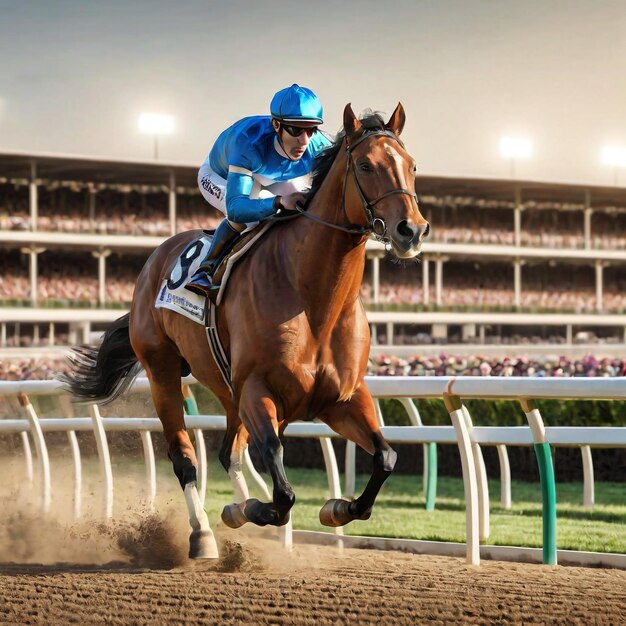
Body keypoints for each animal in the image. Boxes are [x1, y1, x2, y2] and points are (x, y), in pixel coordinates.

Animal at [59, 102, 428, 556]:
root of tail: (153, 263)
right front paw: (249, 509)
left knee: (229, 453)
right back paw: (202, 534)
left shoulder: (341, 398)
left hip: (226, 386)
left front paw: (335, 508)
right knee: (185, 457)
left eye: (412, 166)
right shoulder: (257, 388)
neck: (313, 298)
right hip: (164, 371)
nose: (412, 230)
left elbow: (385, 457)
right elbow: (282, 489)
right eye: (365, 165)